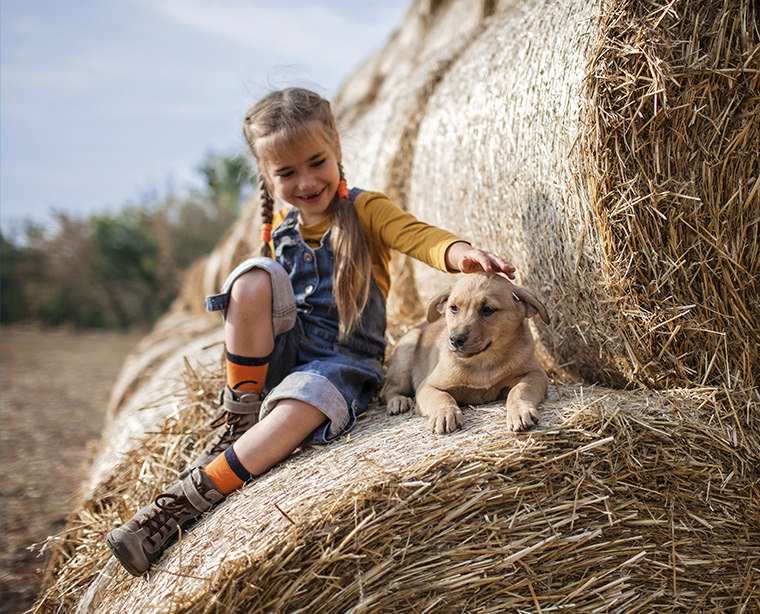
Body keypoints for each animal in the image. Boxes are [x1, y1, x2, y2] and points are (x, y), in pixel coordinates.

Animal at [382, 272, 548, 436]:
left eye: (488, 309)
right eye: (453, 308)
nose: (455, 339)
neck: (482, 362)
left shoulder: (535, 373)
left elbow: (520, 389)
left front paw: (519, 412)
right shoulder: (426, 386)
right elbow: (442, 396)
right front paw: (445, 413)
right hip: (406, 352)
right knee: (389, 389)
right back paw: (398, 401)